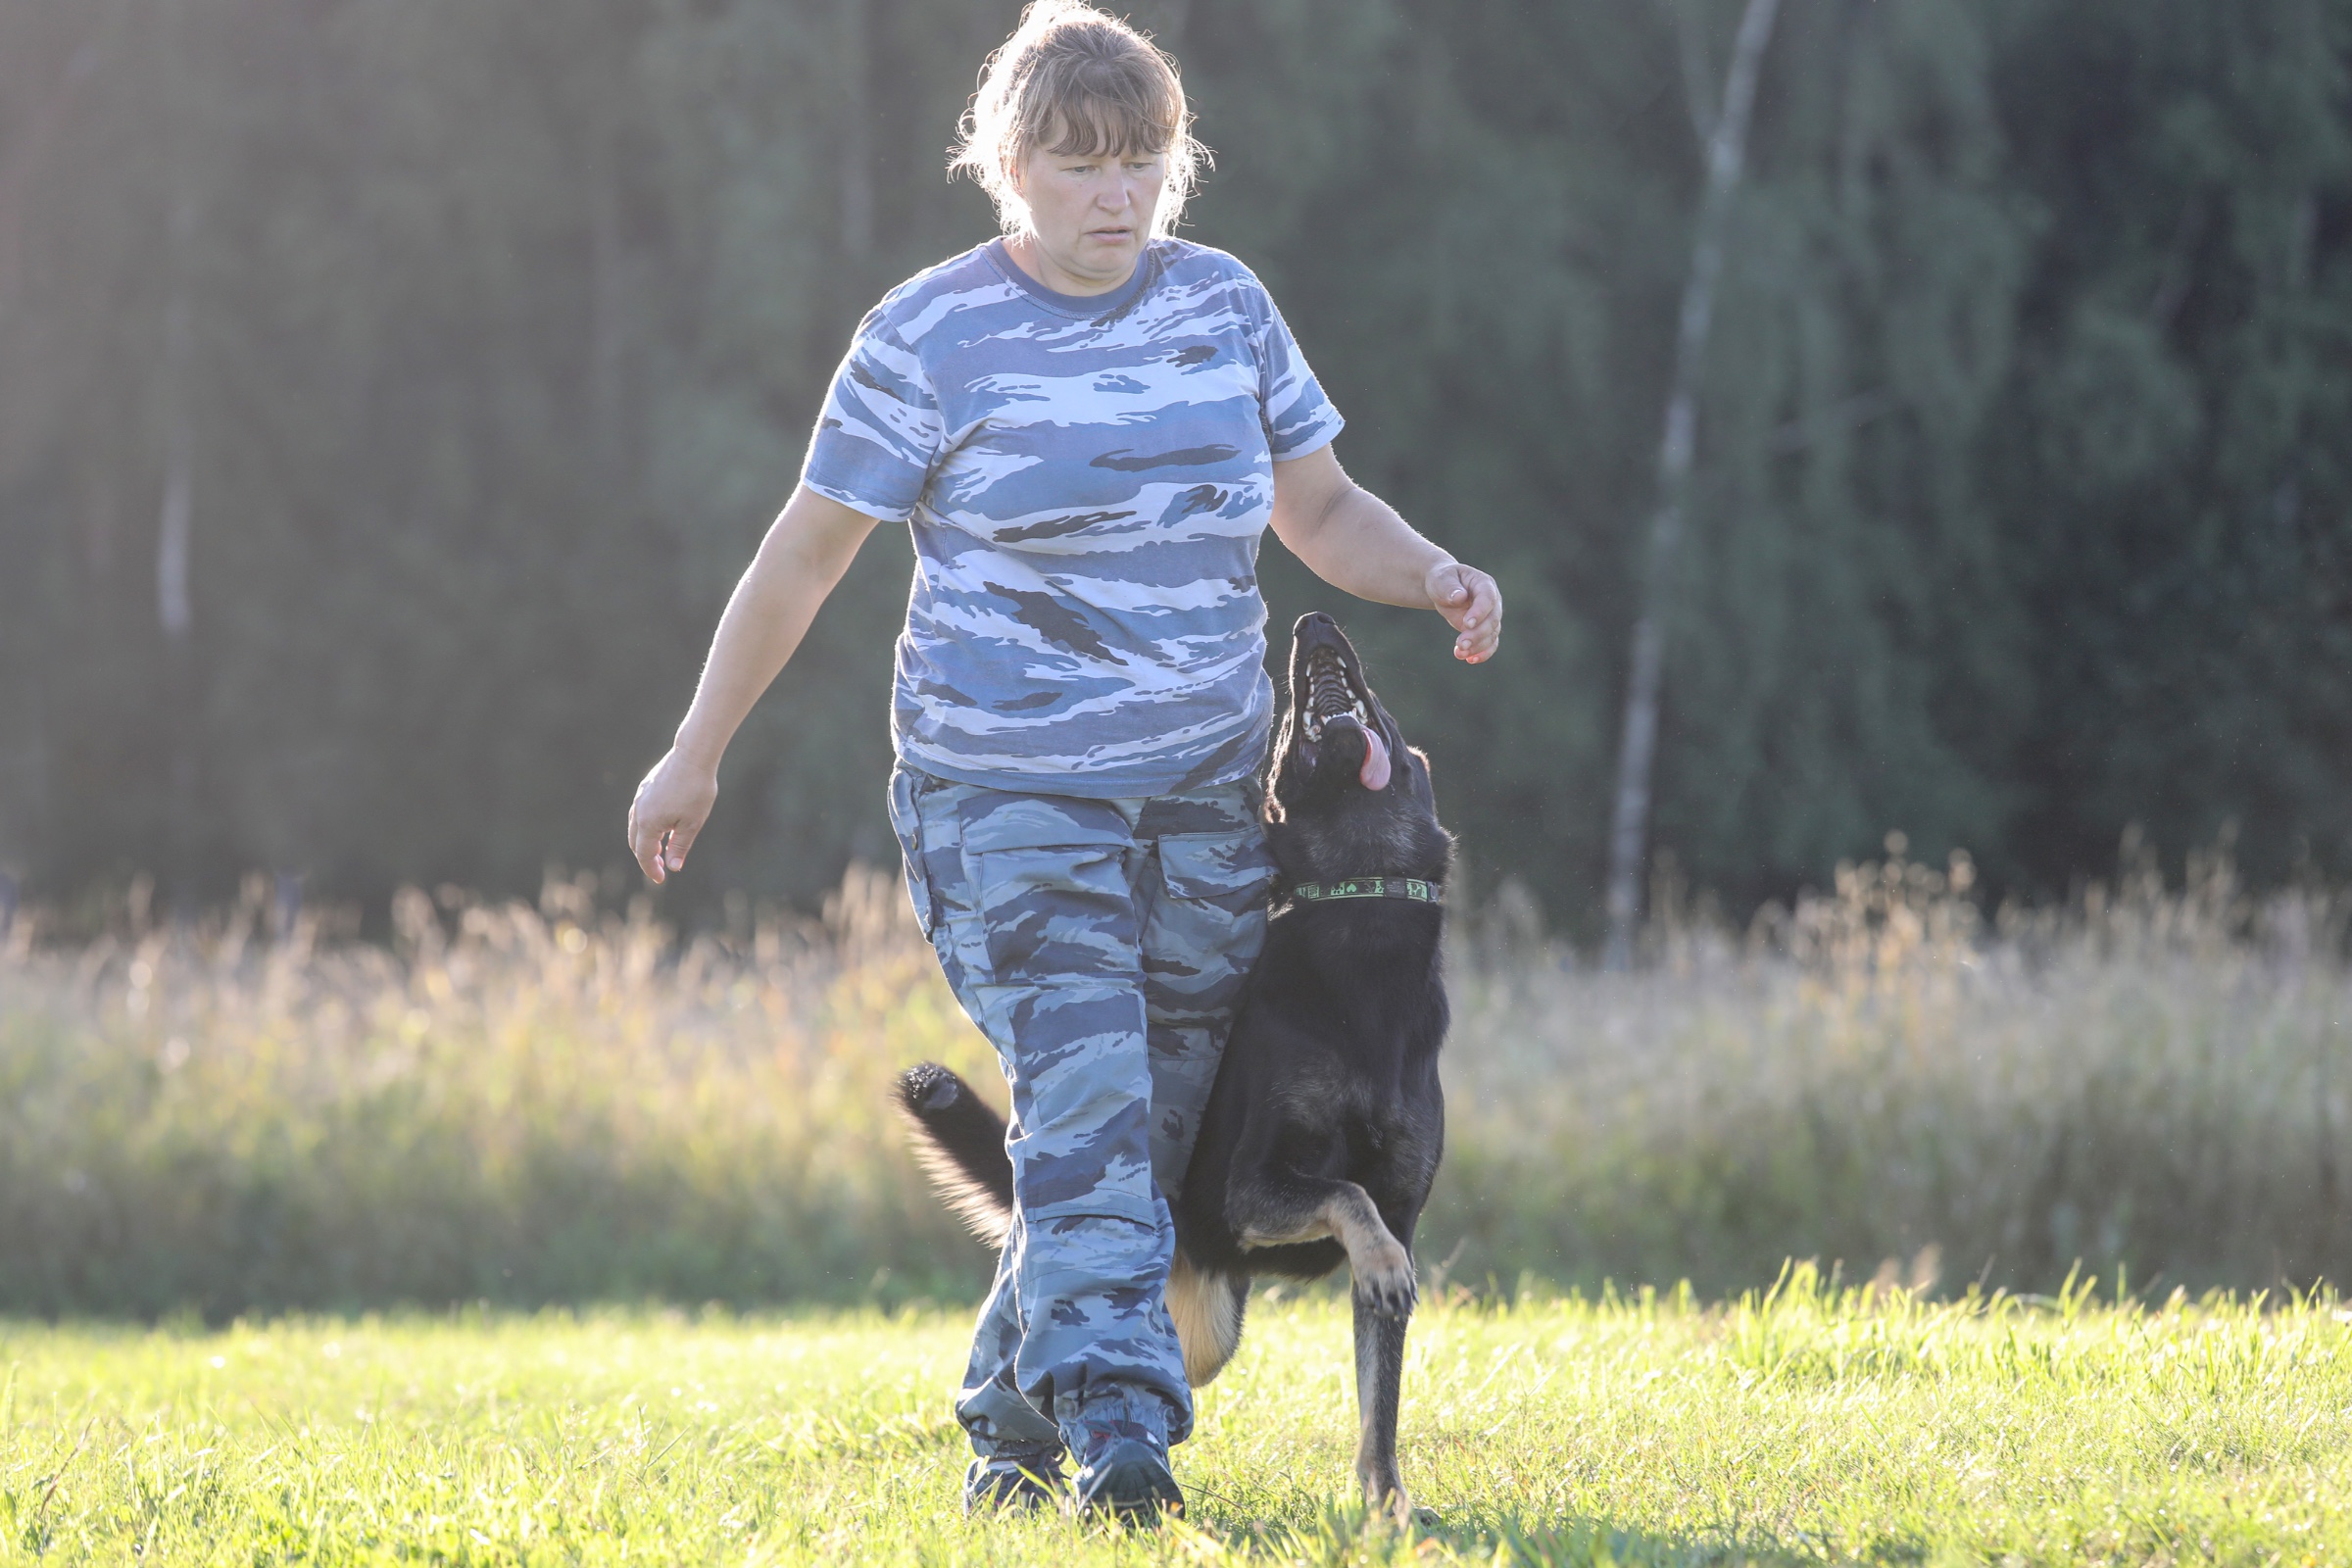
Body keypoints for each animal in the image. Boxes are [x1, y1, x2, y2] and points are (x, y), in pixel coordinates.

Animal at [894, 611, 1451, 1518]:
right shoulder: (1251, 1188)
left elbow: (1381, 1406)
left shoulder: (1398, 1216)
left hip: (1204, 1332)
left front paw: (1386, 1509)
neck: (1359, 906)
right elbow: (1346, 1193)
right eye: (1282, 732)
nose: (1313, 621)